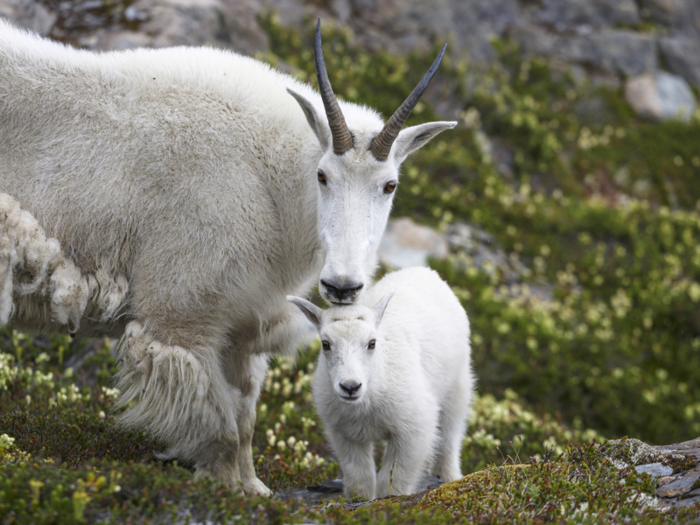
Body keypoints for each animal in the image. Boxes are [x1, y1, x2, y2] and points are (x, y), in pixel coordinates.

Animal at [0, 17, 456, 492]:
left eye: (390, 185)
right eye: (322, 175)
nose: (342, 286)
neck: (267, 179)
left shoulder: (241, 325)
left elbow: (245, 416)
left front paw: (253, 488)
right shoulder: (182, 316)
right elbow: (218, 421)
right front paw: (223, 488)